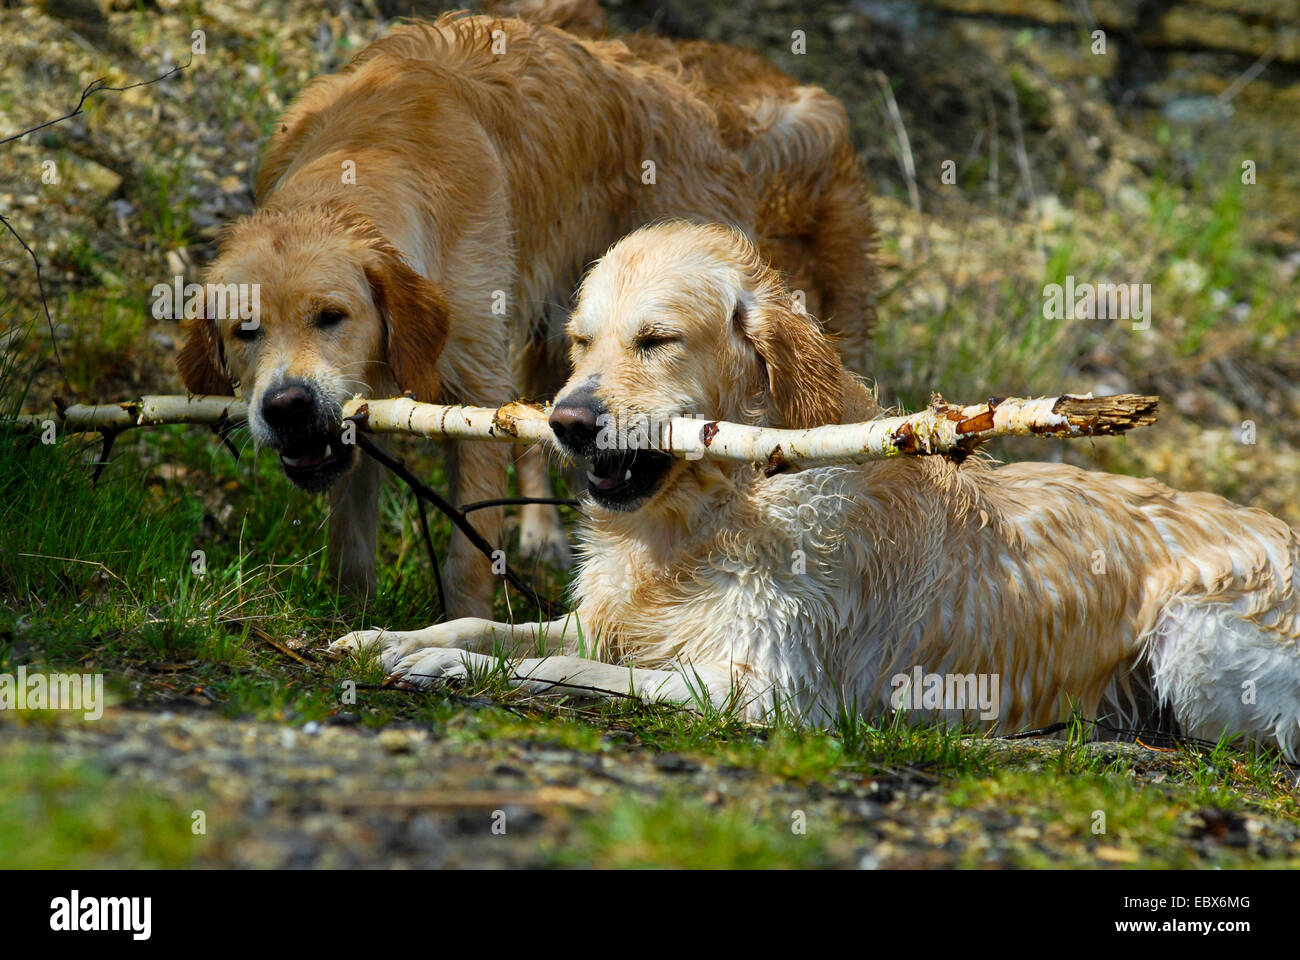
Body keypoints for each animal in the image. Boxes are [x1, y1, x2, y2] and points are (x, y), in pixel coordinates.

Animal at [332, 221, 1300, 759]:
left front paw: (444, 667)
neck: (722, 506)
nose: (568, 420)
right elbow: (485, 626)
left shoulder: (760, 690)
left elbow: (555, 666)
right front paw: (389, 638)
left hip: (1191, 641)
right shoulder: (609, 620)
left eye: (656, 340)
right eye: (580, 342)